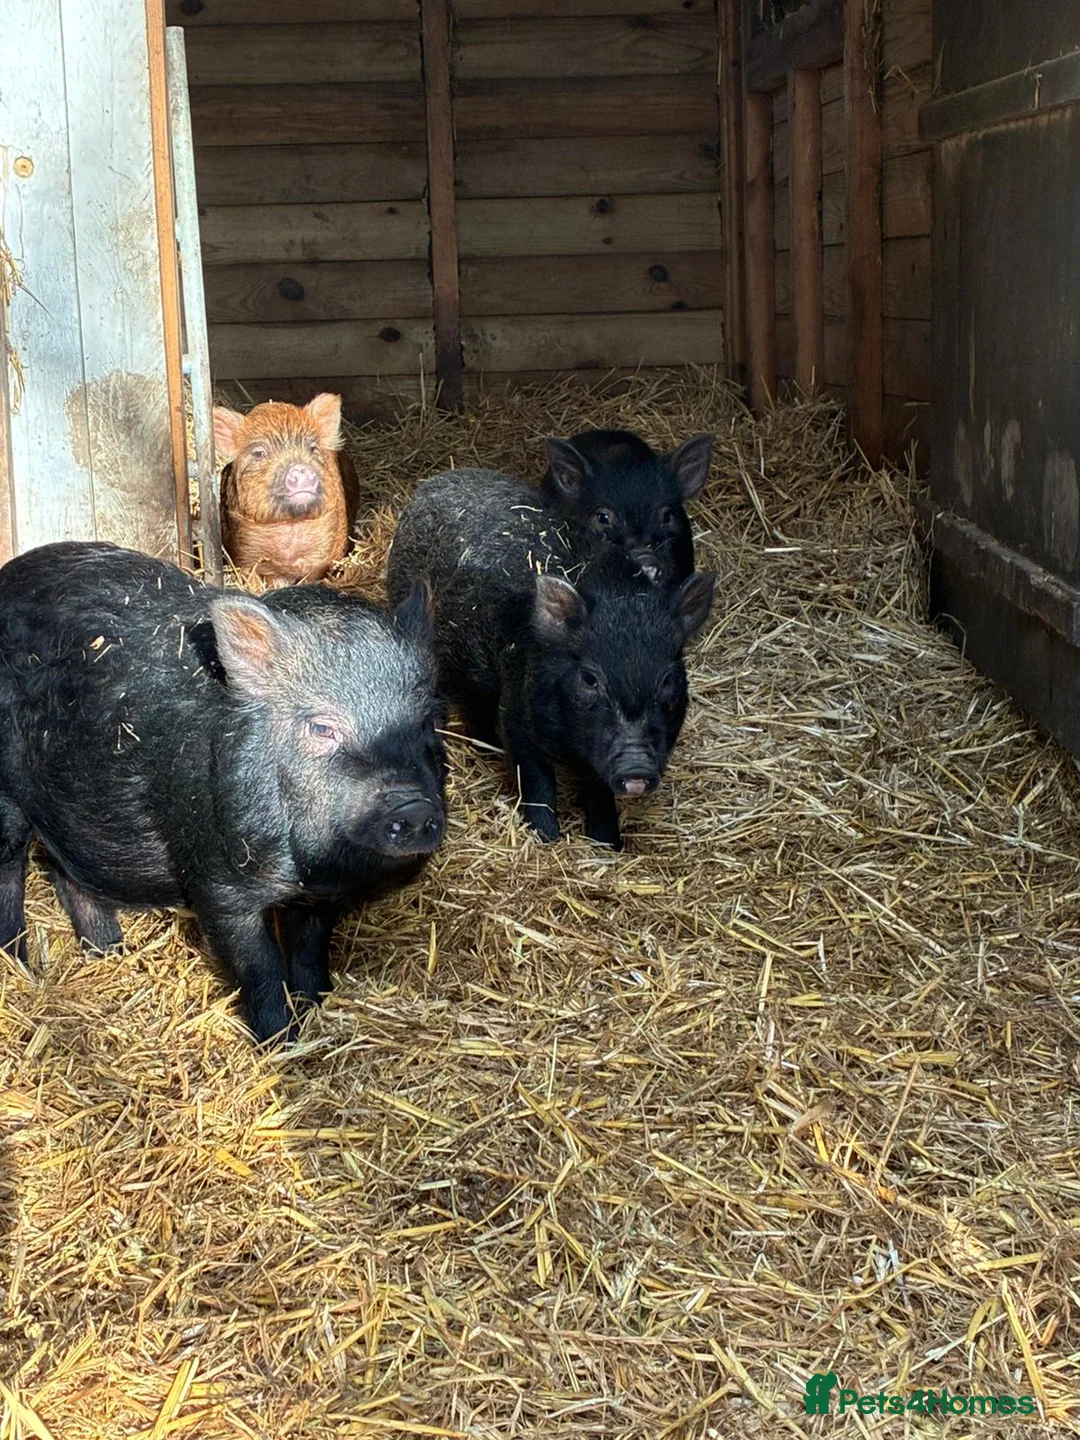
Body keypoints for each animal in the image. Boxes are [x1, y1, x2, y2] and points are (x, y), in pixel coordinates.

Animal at [0, 541, 445, 1044]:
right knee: (9, 870)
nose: (413, 806)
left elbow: (309, 952)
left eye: (427, 719)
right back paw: (19, 966)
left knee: (67, 874)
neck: (299, 866)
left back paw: (110, 952)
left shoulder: (315, 897)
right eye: (322, 727)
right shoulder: (215, 880)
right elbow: (258, 967)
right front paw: (278, 1042)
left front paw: (313, 1014)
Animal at [214, 393, 361, 588]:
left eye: (312, 447)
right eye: (258, 453)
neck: (290, 525)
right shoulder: (244, 555)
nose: (300, 467)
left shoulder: (324, 554)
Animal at [386, 469, 714, 850]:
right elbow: (536, 779)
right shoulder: (518, 708)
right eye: (589, 678)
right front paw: (545, 838)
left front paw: (608, 845)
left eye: (668, 679)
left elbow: (598, 790)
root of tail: (435, 481)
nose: (636, 769)